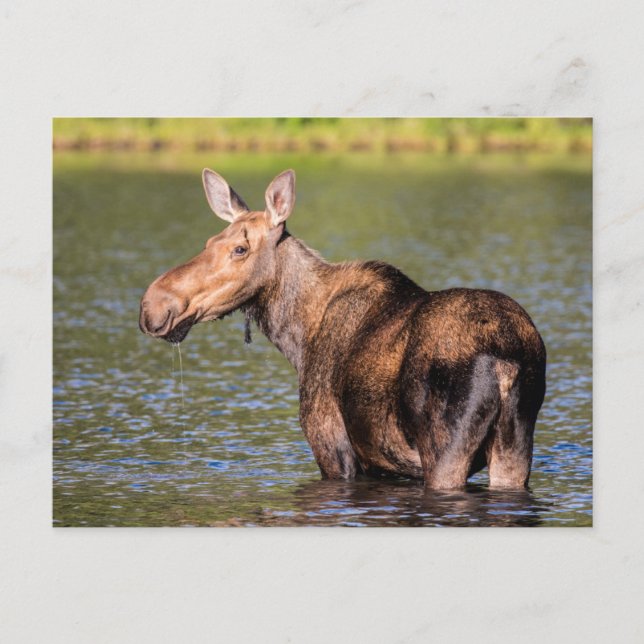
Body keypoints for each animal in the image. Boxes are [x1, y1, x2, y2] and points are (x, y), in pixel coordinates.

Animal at [139, 169, 546, 489]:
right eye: (210, 242)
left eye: (240, 249)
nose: (153, 305)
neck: (297, 337)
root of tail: (507, 360)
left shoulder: (332, 447)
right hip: (515, 447)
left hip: (445, 451)